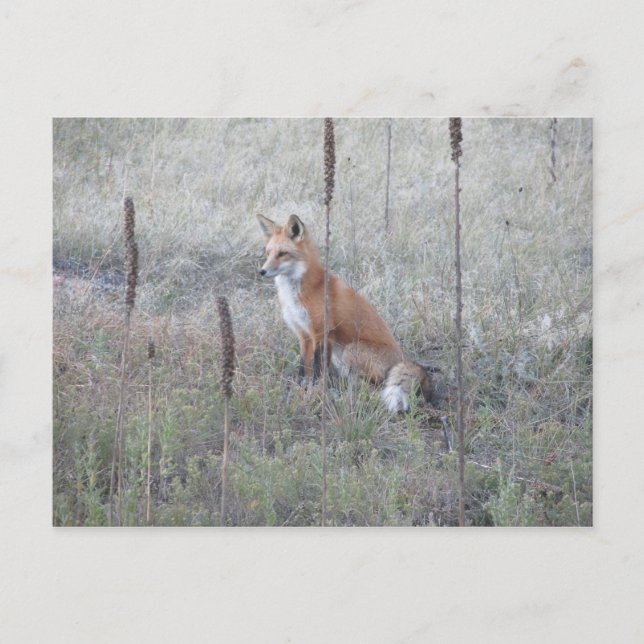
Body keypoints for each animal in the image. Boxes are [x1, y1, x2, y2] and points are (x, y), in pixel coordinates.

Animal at [256, 213, 432, 412]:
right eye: (268, 252)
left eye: (282, 253)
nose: (262, 271)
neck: (297, 293)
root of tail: (402, 359)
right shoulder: (304, 335)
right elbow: (303, 367)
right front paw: (299, 389)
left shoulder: (321, 333)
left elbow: (317, 370)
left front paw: (315, 393)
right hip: (339, 356)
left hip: (349, 351)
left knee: (377, 385)